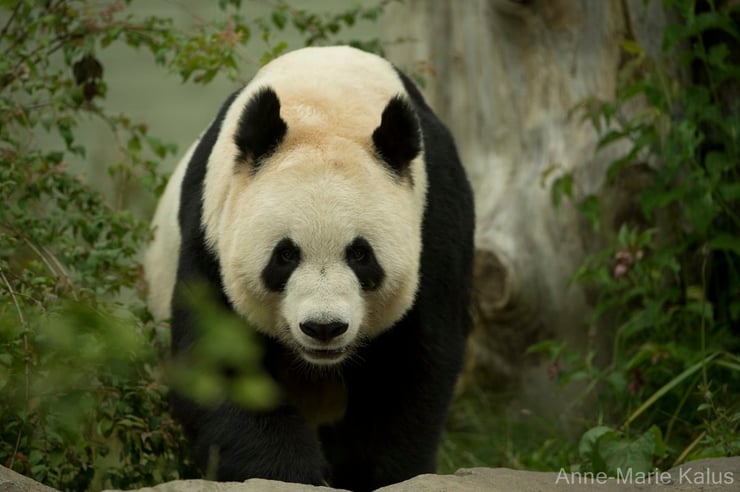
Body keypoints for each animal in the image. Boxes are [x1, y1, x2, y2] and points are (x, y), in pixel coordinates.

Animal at [144, 46, 474, 491]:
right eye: (285, 255)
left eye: (360, 255)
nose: (324, 327)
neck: (324, 108)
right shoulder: (211, 231)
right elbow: (221, 367)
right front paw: (292, 475)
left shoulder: (435, 218)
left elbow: (409, 371)